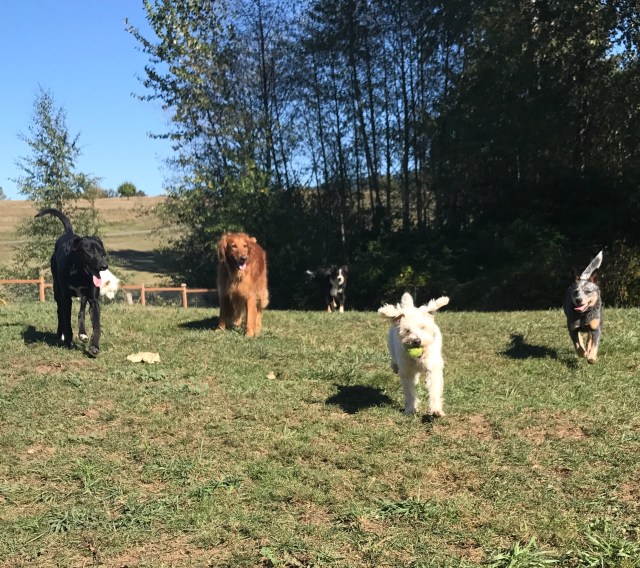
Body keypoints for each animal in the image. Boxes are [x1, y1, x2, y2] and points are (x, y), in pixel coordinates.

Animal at [36, 208, 109, 356]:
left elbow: (96, 325)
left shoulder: (93, 299)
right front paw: (68, 341)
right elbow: (66, 320)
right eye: (88, 251)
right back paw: (61, 335)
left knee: (81, 312)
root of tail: (69, 235)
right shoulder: (65, 298)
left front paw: (94, 346)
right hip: (57, 291)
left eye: (101, 251)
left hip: (83, 296)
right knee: (60, 312)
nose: (104, 266)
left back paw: (82, 334)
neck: (79, 273)